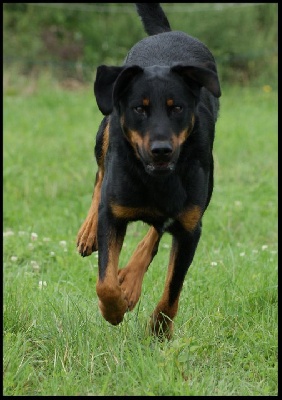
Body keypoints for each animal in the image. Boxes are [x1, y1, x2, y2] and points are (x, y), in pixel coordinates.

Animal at [76, 3, 220, 340]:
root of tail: (169, 33)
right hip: (105, 128)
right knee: (100, 176)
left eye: (177, 107)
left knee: (155, 232)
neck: (155, 179)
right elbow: (105, 283)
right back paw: (89, 233)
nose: (161, 149)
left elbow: (173, 289)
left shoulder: (190, 226)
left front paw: (159, 328)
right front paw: (113, 309)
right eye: (139, 109)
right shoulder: (113, 213)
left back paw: (130, 280)